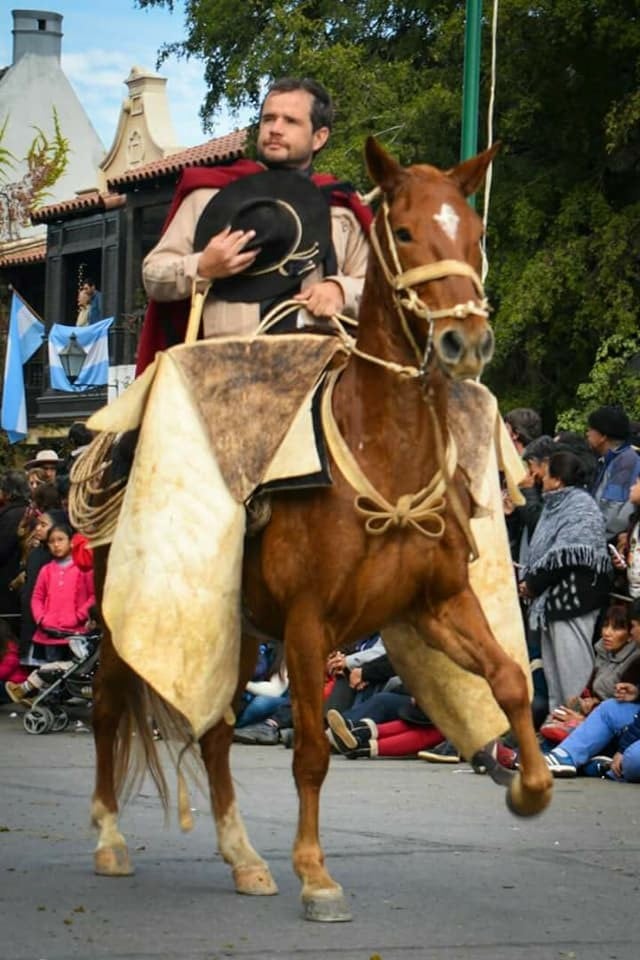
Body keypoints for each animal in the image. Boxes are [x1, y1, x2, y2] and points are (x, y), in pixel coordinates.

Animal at [87, 137, 552, 924]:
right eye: (404, 231)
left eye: (475, 234)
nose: (466, 341)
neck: (382, 453)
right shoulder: (309, 625)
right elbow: (310, 751)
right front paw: (316, 875)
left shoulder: (436, 604)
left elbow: (510, 680)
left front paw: (530, 787)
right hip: (128, 617)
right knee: (108, 706)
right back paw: (111, 839)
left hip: (236, 629)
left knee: (217, 731)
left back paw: (243, 857)